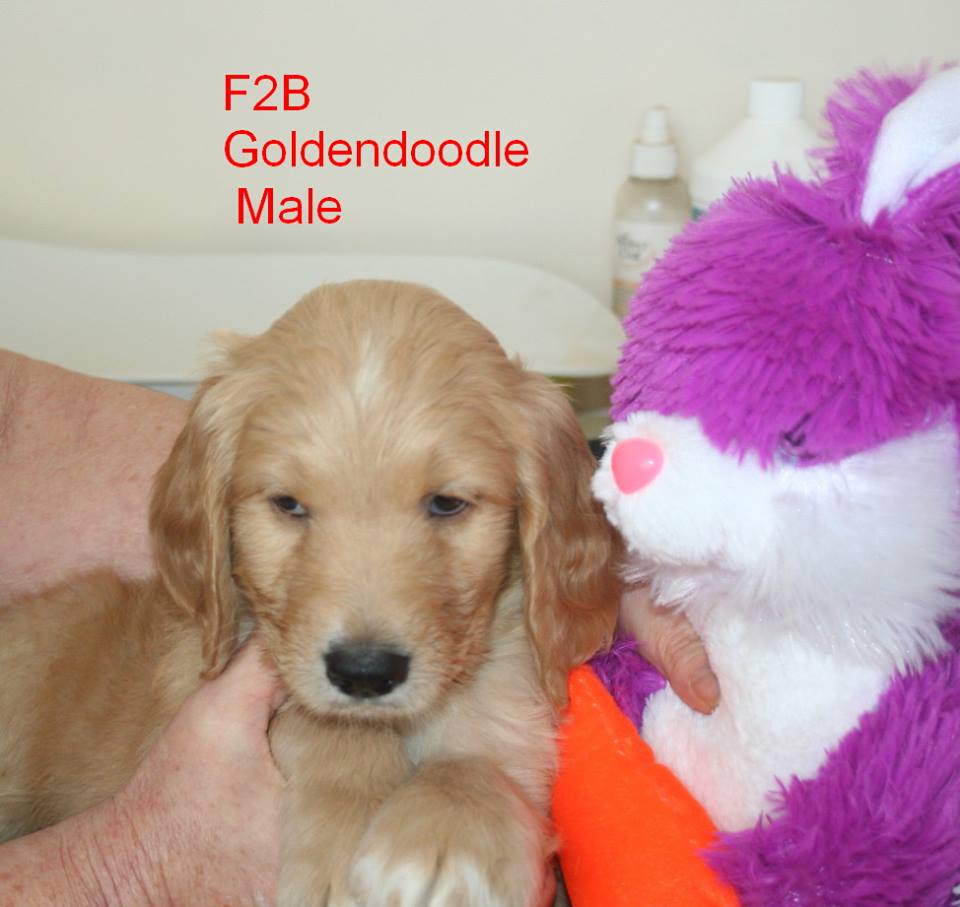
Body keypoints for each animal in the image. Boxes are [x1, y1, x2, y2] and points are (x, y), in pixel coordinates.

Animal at [0, 280, 620, 906]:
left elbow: (479, 758)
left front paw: (451, 842)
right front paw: (347, 833)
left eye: (447, 503)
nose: (365, 673)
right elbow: (323, 725)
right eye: (288, 505)